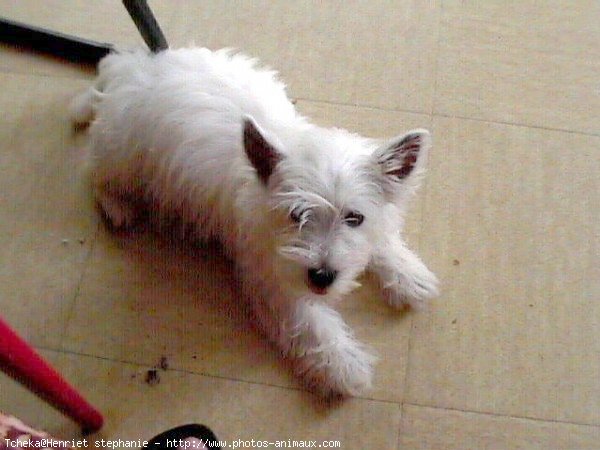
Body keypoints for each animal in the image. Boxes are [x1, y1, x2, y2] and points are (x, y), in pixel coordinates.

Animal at [72, 47, 438, 396]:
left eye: (355, 218)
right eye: (296, 215)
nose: (322, 277)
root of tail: (130, 66)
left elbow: (383, 239)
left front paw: (408, 276)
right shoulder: (274, 276)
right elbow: (311, 322)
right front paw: (342, 366)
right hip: (124, 156)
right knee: (94, 170)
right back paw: (118, 207)